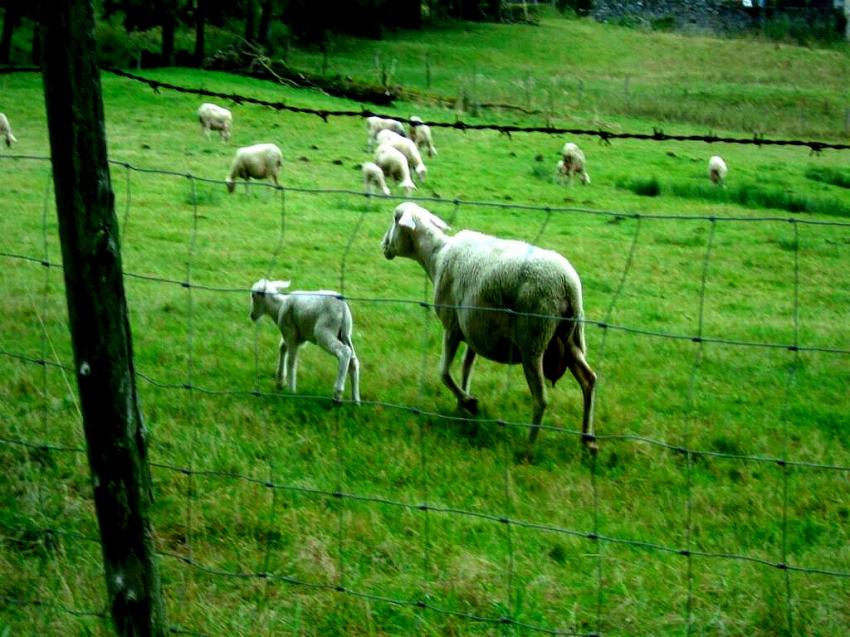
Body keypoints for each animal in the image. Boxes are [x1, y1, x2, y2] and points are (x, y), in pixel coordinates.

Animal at [380, 202, 596, 448]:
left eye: (395, 219)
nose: (383, 245)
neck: (437, 256)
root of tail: (568, 285)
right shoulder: (474, 331)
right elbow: (466, 368)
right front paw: (461, 407)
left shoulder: (452, 326)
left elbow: (443, 371)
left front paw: (469, 402)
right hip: (571, 339)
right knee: (589, 380)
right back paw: (588, 441)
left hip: (533, 340)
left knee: (541, 399)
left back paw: (528, 447)